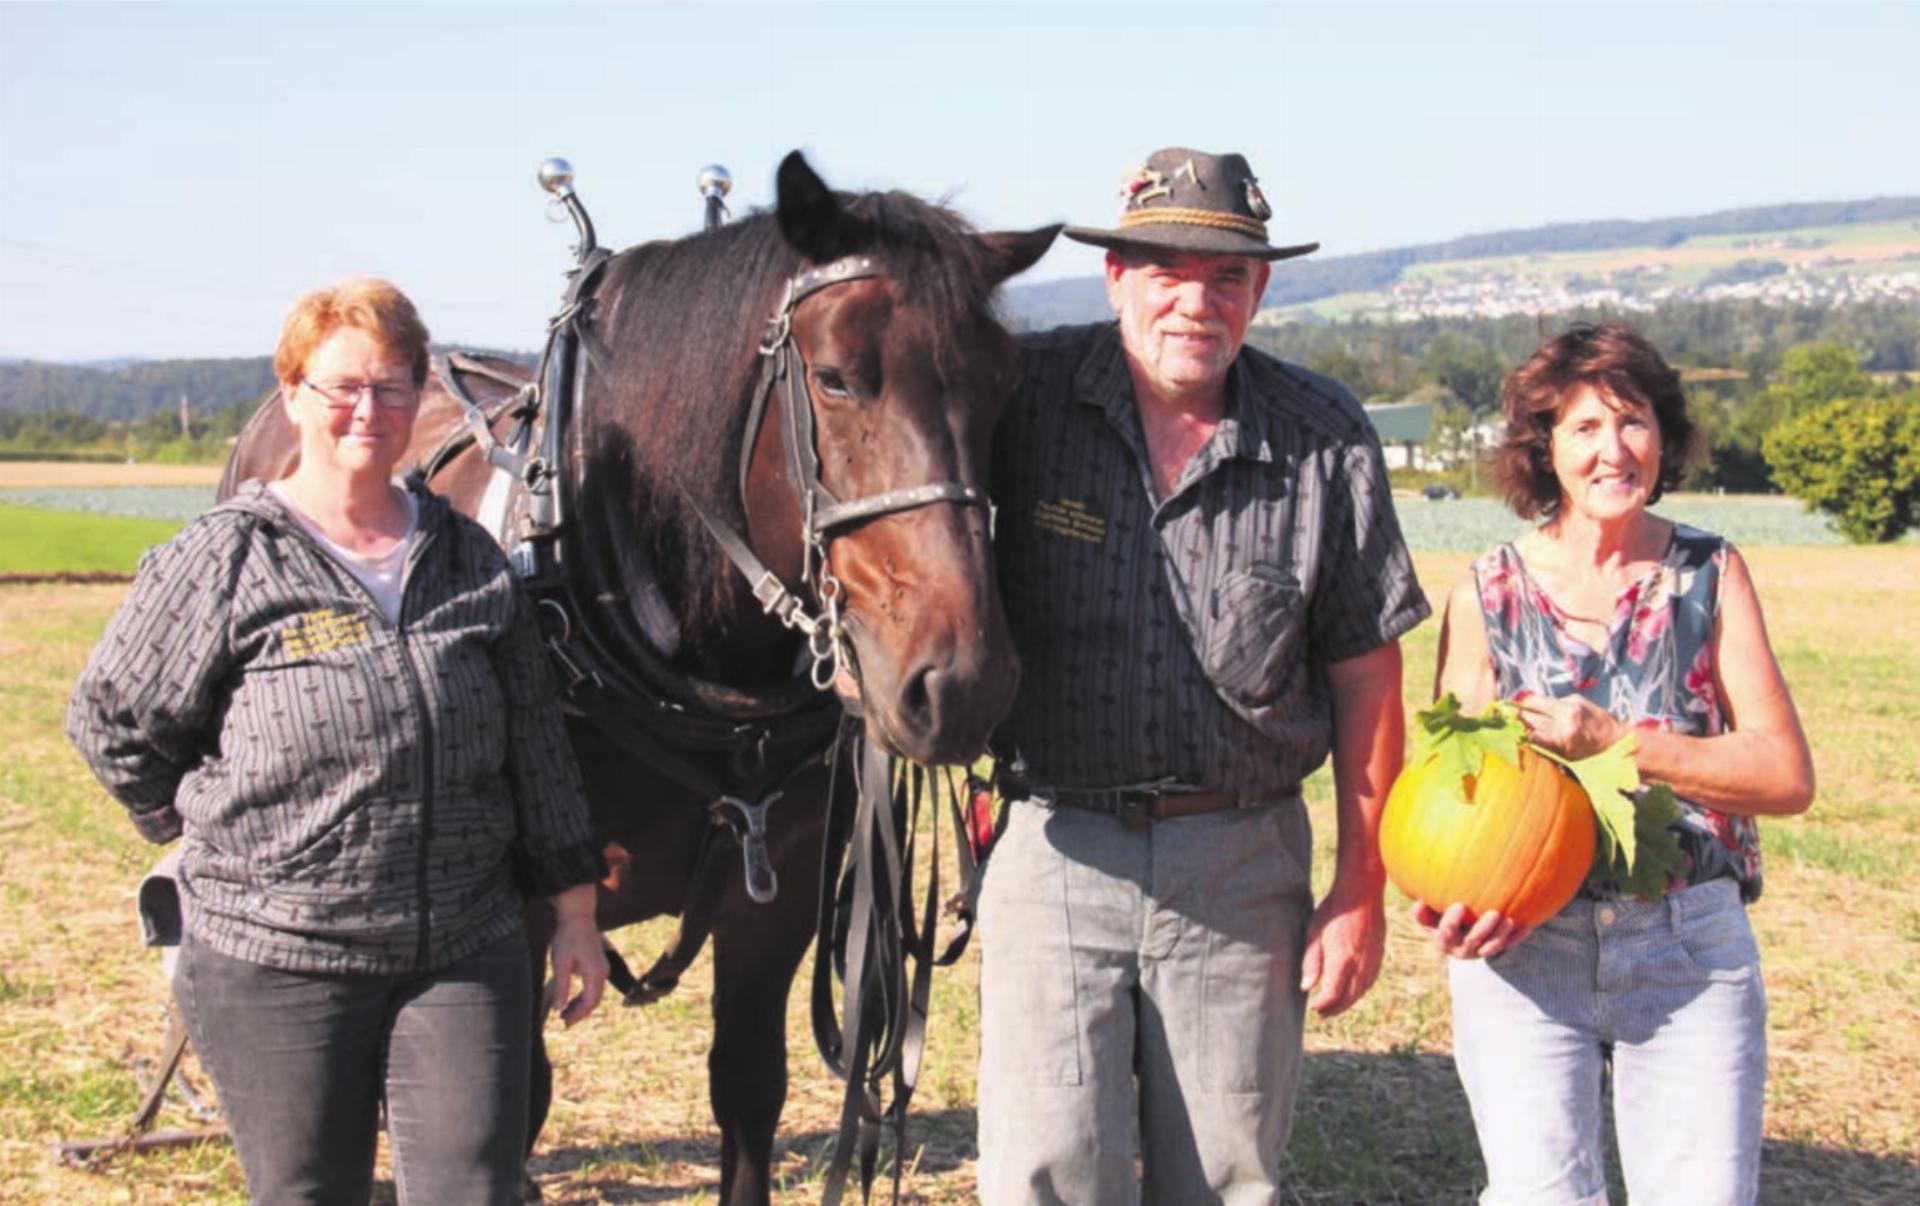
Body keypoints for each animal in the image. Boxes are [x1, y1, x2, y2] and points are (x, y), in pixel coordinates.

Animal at [226, 155, 1067, 1198]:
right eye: (835, 377)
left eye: (1004, 389)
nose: (961, 684)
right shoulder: (522, 916)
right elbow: (513, 1099)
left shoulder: (777, 901)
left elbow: (746, 1090)